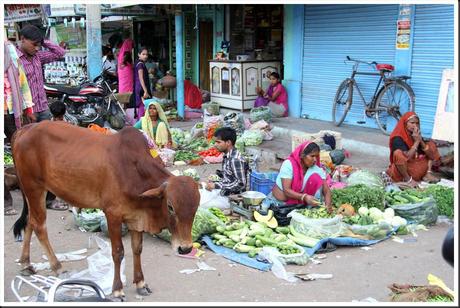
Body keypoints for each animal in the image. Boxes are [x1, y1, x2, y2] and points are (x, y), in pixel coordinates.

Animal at [11, 121, 199, 300]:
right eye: (170, 206)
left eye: (196, 208)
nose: (185, 249)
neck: (133, 171)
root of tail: (25, 129)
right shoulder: (113, 214)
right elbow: (118, 252)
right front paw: (117, 290)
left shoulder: (136, 216)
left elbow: (137, 249)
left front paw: (140, 283)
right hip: (34, 188)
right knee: (40, 226)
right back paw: (57, 266)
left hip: (32, 192)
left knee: (30, 221)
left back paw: (26, 263)